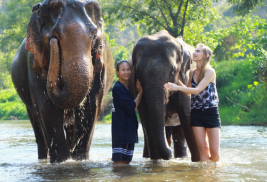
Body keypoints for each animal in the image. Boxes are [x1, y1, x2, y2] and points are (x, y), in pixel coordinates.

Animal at [11, 0, 114, 162]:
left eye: (94, 35)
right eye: (54, 36)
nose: (53, 42)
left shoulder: (100, 62)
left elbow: (92, 105)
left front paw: (79, 160)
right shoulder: (34, 62)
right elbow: (47, 108)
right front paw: (62, 161)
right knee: (36, 122)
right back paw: (43, 159)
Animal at [129, 30, 200, 161]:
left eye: (172, 71)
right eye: (139, 72)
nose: (169, 153)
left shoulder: (186, 80)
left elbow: (187, 117)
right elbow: (146, 119)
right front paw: (156, 161)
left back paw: (180, 158)